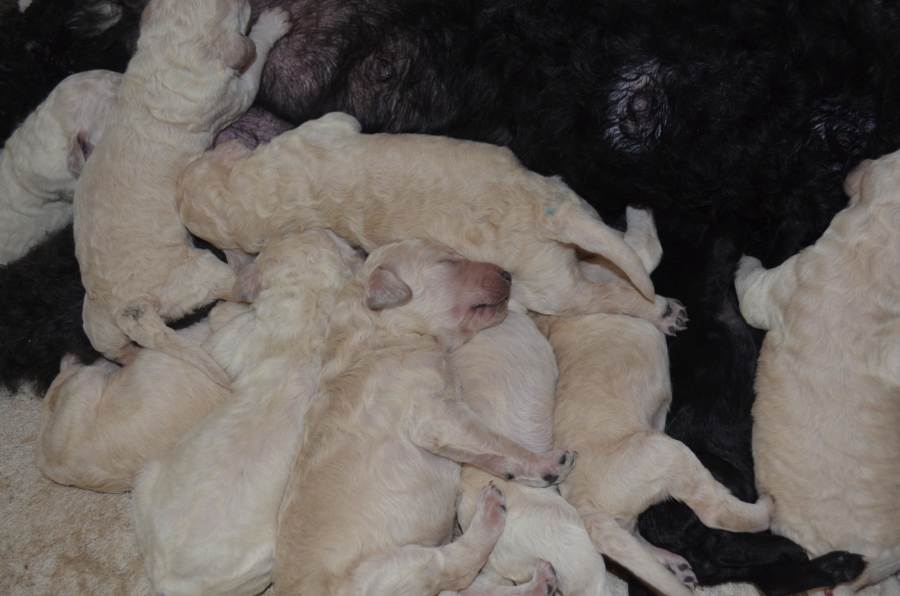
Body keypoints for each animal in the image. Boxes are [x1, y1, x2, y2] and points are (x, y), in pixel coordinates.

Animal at [72, 0, 289, 389]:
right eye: (238, 7)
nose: (252, 5)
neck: (167, 55)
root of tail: (132, 311)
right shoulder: (235, 93)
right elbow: (254, 57)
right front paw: (271, 24)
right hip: (201, 272)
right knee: (233, 283)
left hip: (96, 323)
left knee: (118, 351)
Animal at [178, 112, 687, 334]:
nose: (178, 188)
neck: (265, 194)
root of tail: (549, 217)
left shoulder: (320, 130)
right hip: (554, 270)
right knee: (625, 275)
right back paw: (660, 303)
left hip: (568, 210)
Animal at [273, 238, 573, 596]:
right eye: (447, 262)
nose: (507, 274)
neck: (385, 333)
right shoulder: (436, 414)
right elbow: (498, 442)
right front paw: (546, 465)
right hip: (391, 569)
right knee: (458, 566)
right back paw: (491, 519)